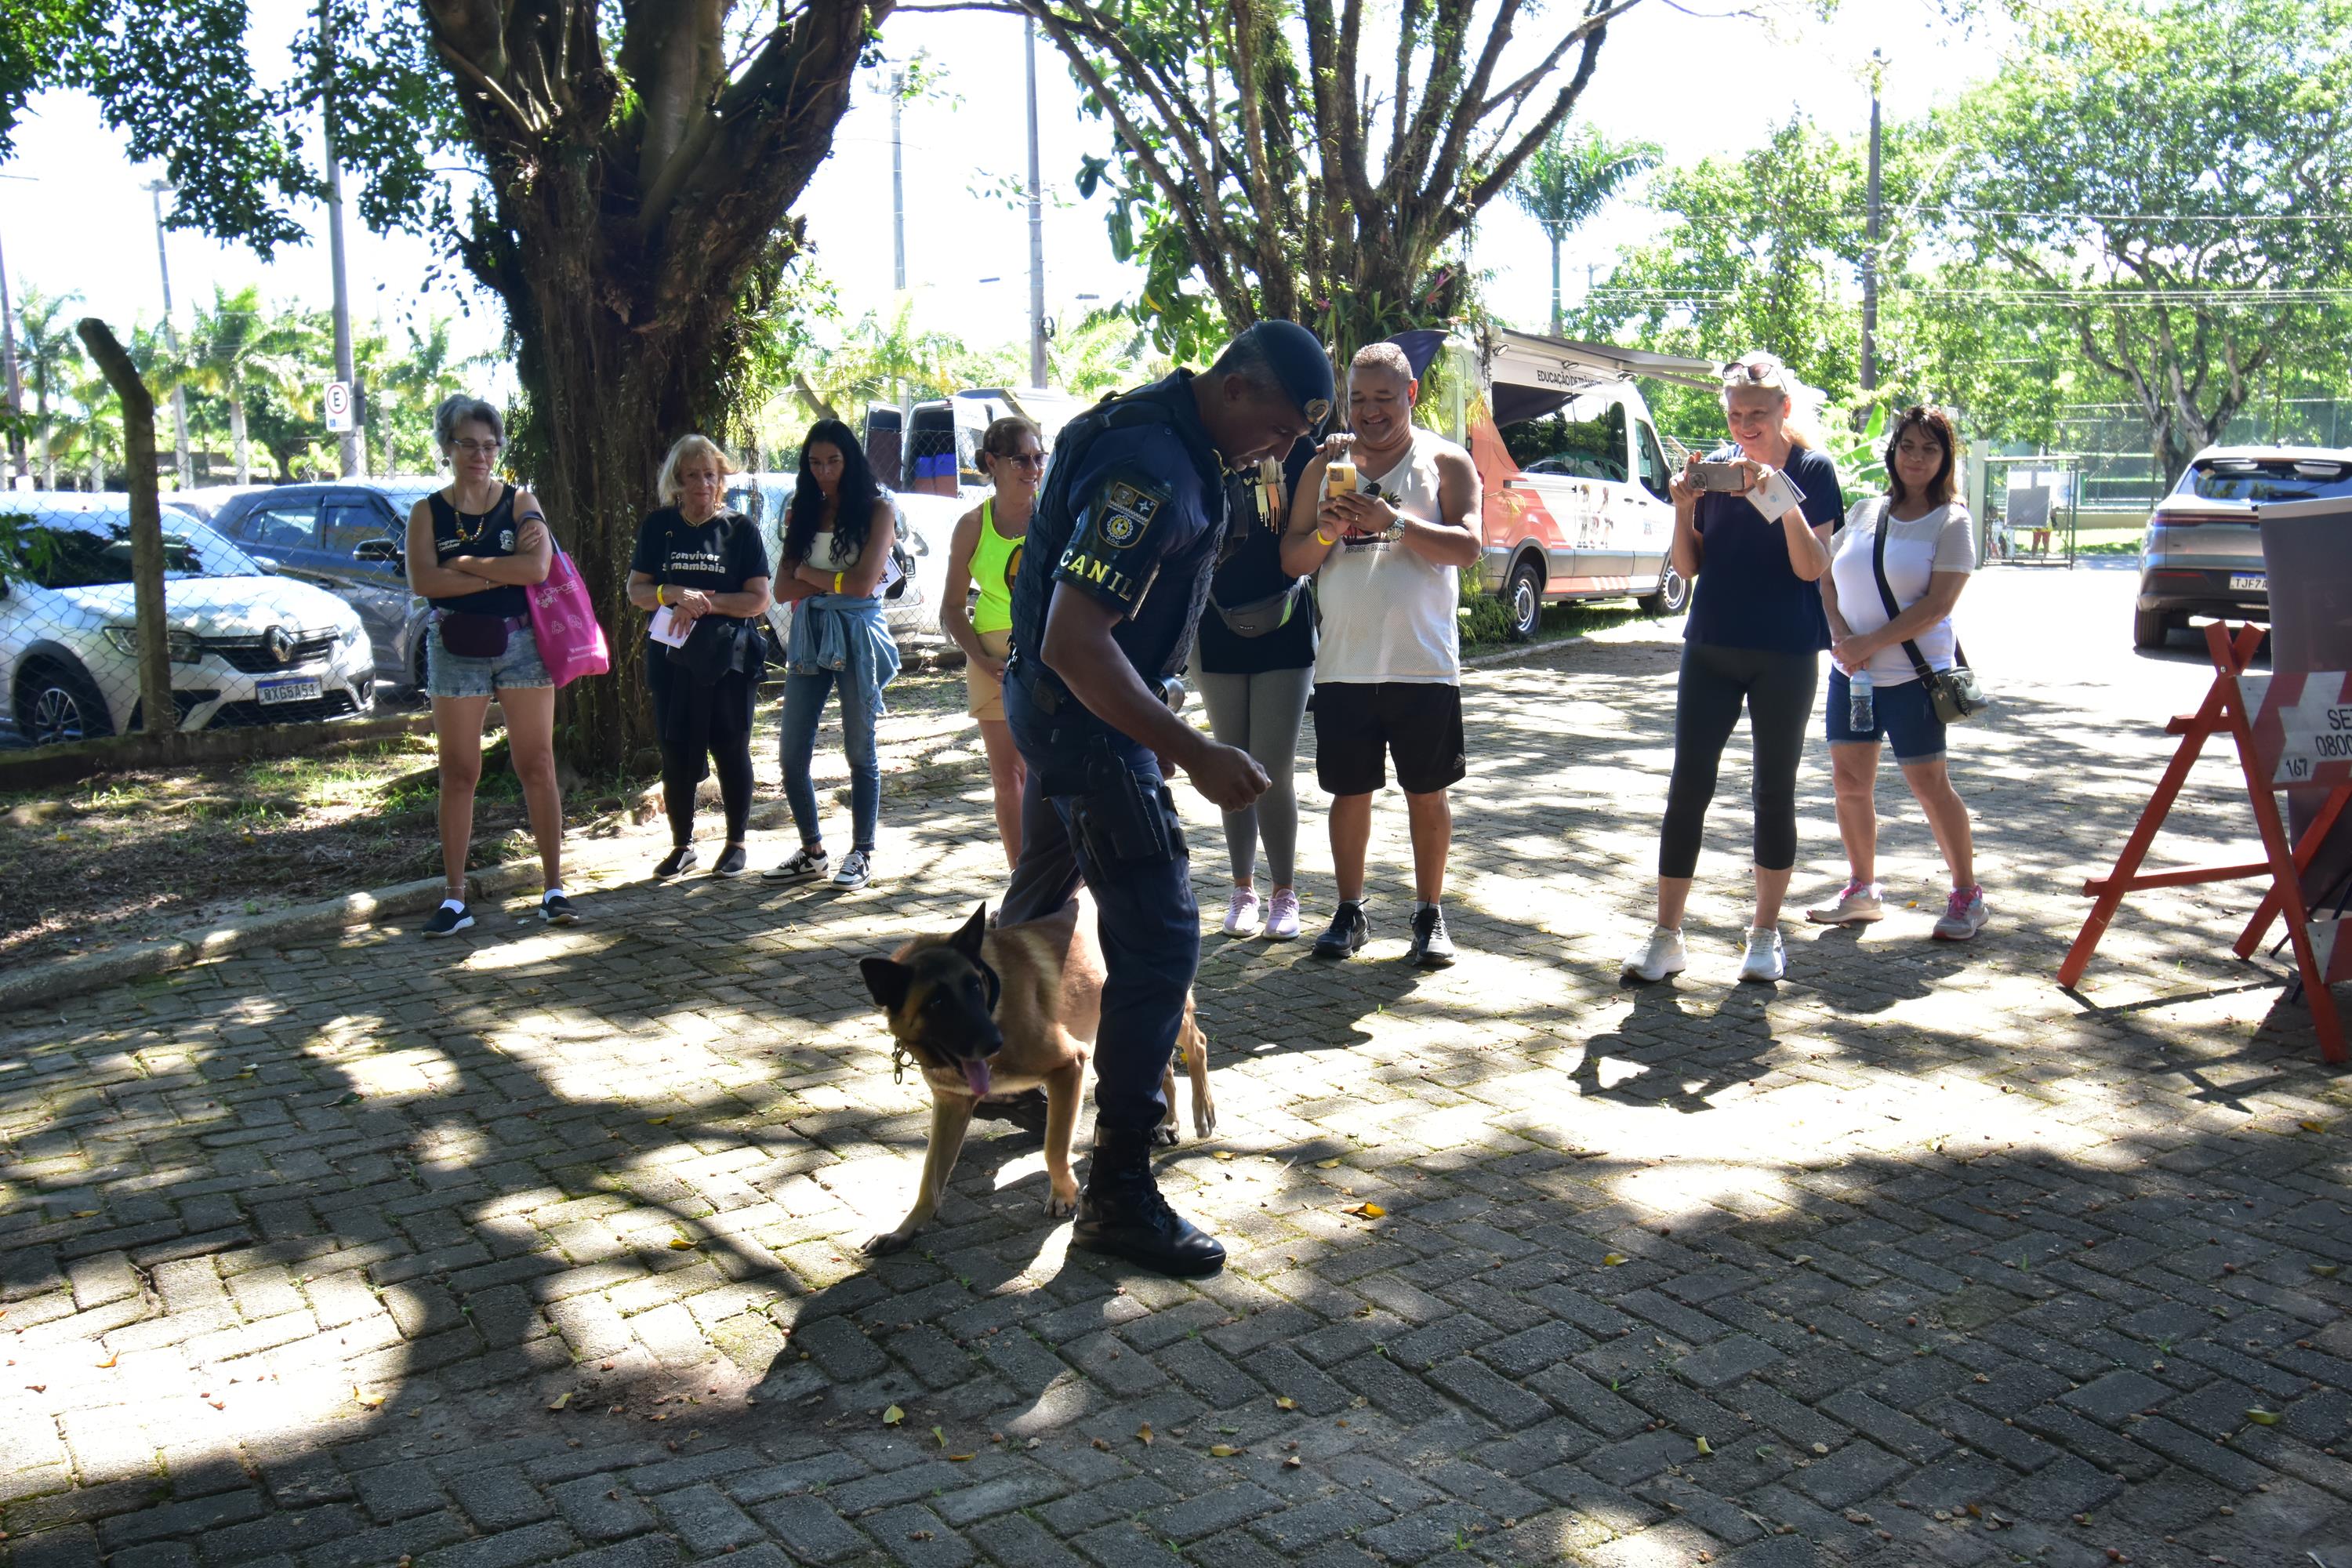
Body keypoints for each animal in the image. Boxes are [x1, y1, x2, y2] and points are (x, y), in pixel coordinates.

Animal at [858, 898, 1214, 1255]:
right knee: (1164, 1068)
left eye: (974, 987)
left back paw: (1202, 1110)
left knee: (1197, 1044)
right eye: (937, 1002)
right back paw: (1166, 1121)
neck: (996, 1000)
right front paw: (904, 1229)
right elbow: (929, 1179)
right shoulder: (952, 1105)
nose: (995, 1042)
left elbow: (1053, 1147)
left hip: (1164, 1004)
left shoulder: (1068, 1067)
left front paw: (1064, 1194)